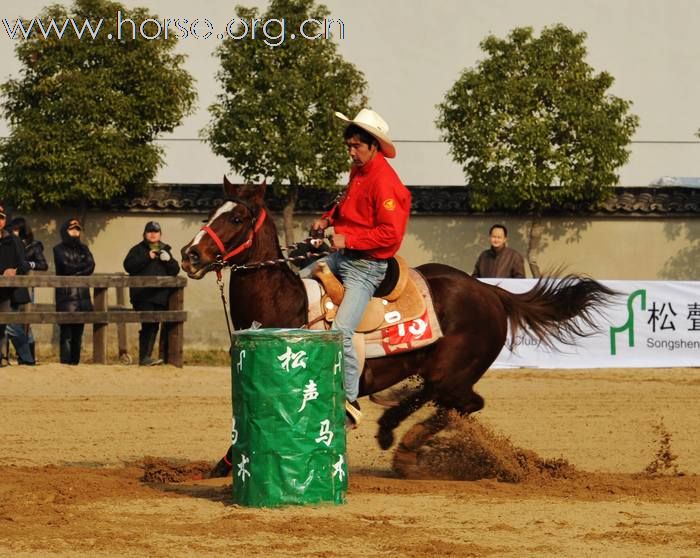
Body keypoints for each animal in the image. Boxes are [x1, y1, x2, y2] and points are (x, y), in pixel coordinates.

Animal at [182, 182, 616, 480]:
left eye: (236, 218)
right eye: (210, 212)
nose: (190, 255)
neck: (287, 303)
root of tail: (491, 292)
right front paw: (221, 467)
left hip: (454, 372)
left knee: (462, 403)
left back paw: (404, 444)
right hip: (439, 370)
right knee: (437, 399)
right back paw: (390, 427)